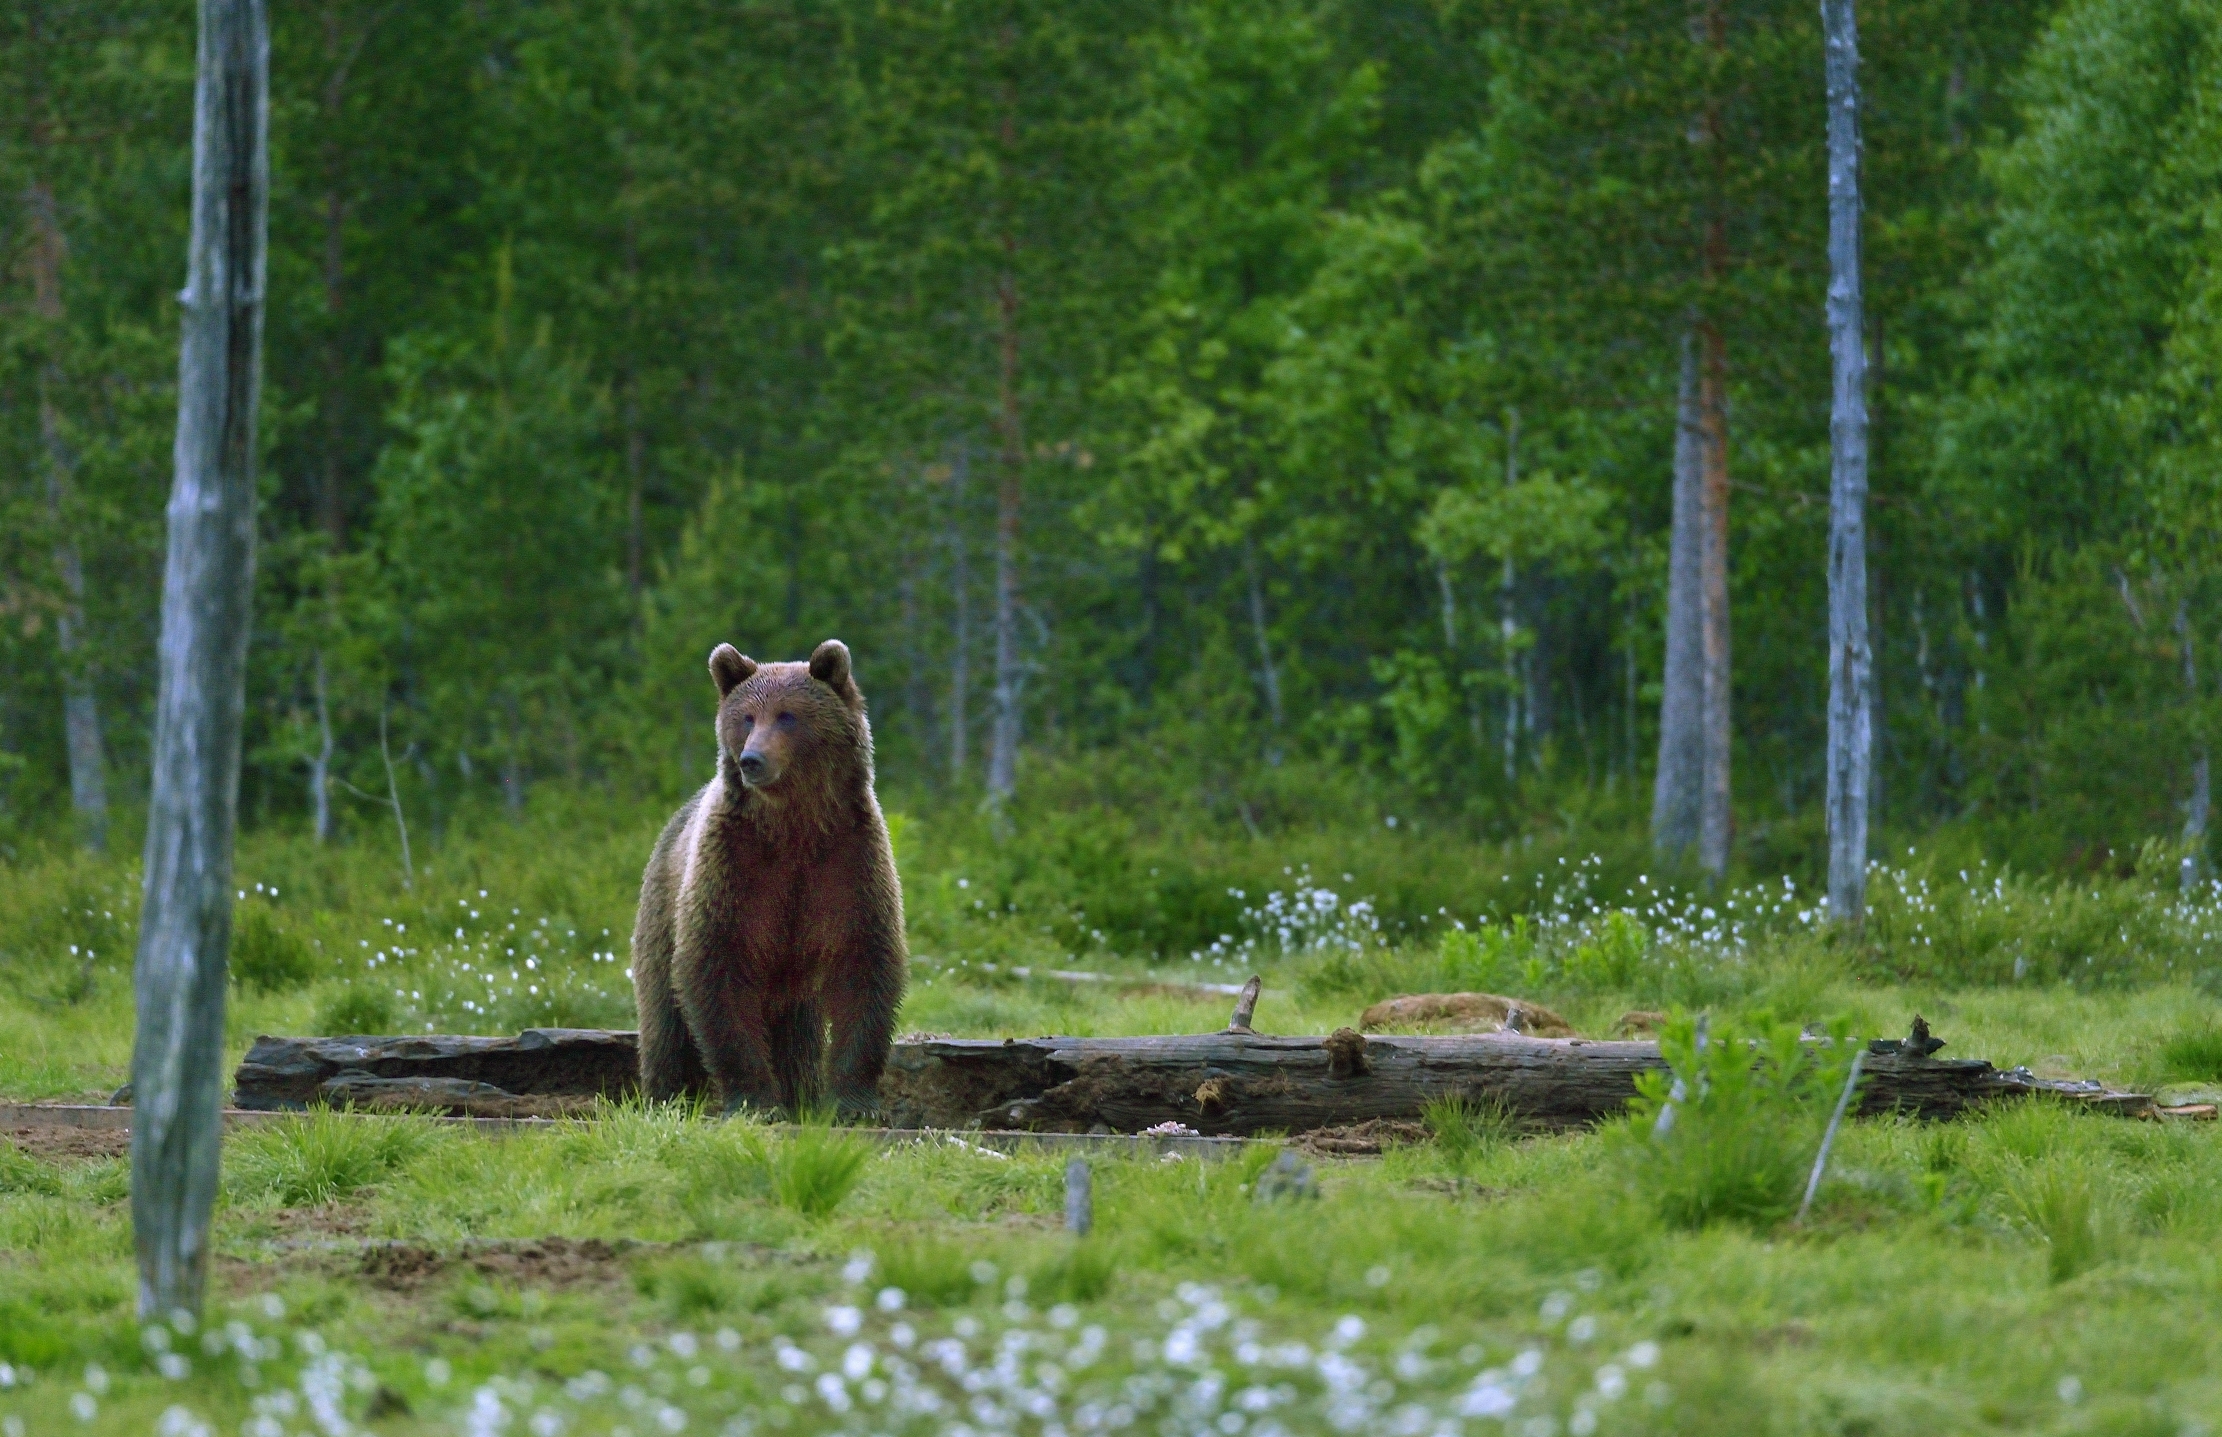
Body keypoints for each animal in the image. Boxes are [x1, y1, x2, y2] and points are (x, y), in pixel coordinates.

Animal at [630, 639, 907, 1117]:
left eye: (787, 715)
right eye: (746, 716)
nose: (751, 760)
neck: (792, 824)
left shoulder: (847, 861)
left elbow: (863, 963)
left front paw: (853, 1101)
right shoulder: (734, 867)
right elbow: (715, 966)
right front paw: (755, 1100)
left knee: (797, 1034)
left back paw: (801, 1093)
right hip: (662, 911)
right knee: (665, 1017)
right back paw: (668, 1095)